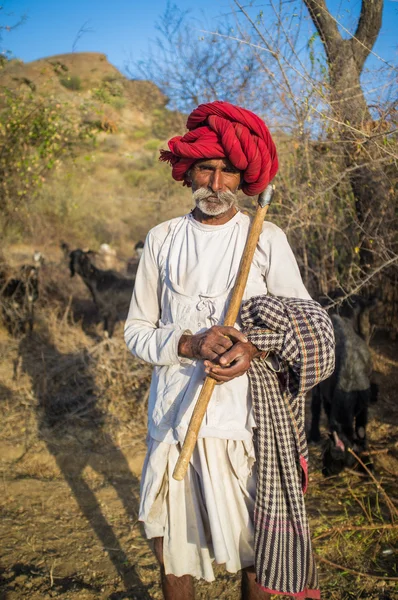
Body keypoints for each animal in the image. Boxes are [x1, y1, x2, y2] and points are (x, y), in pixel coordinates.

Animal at [308, 292, 380, 476]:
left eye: (331, 457)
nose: (325, 471)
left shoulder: (363, 408)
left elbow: (361, 430)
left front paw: (368, 461)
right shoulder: (329, 397)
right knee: (315, 406)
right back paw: (313, 434)